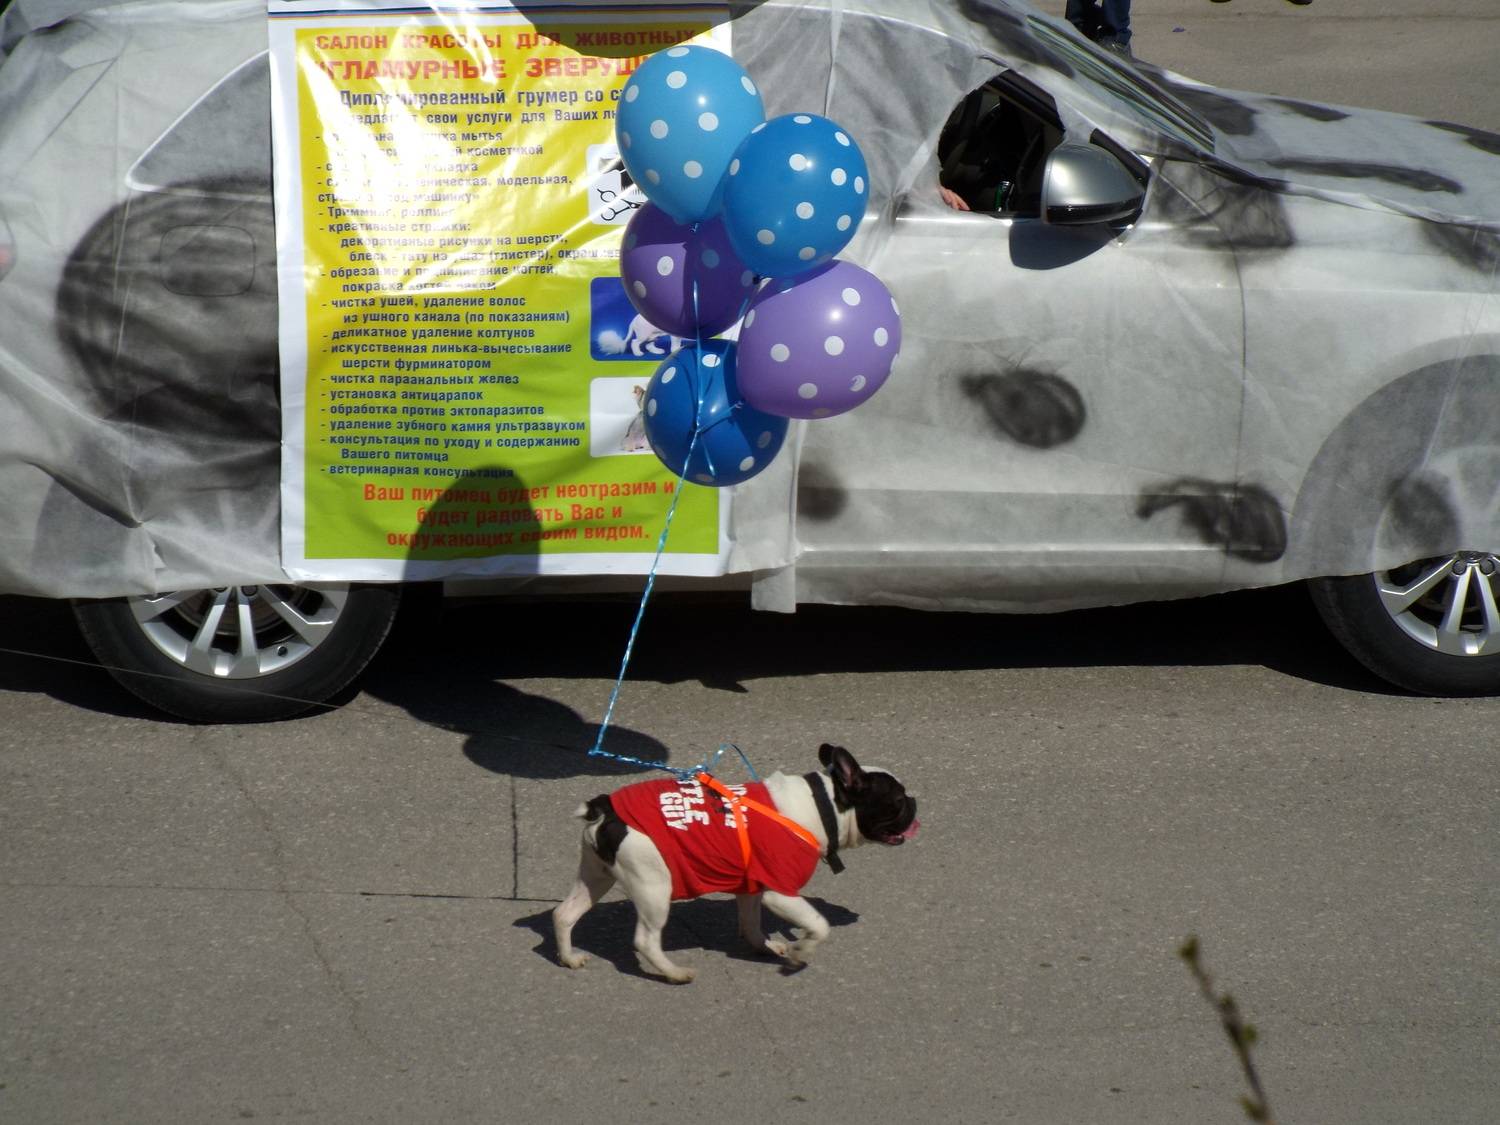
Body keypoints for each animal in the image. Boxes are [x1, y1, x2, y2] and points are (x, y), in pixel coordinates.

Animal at [553, 744, 918, 983]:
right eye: (898, 800)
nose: (914, 801)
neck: (823, 804)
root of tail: (604, 808)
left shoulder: (752, 886)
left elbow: (750, 922)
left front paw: (767, 947)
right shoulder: (779, 891)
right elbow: (819, 924)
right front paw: (801, 951)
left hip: (597, 874)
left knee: (565, 913)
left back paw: (569, 958)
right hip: (652, 884)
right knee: (645, 939)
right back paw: (675, 973)